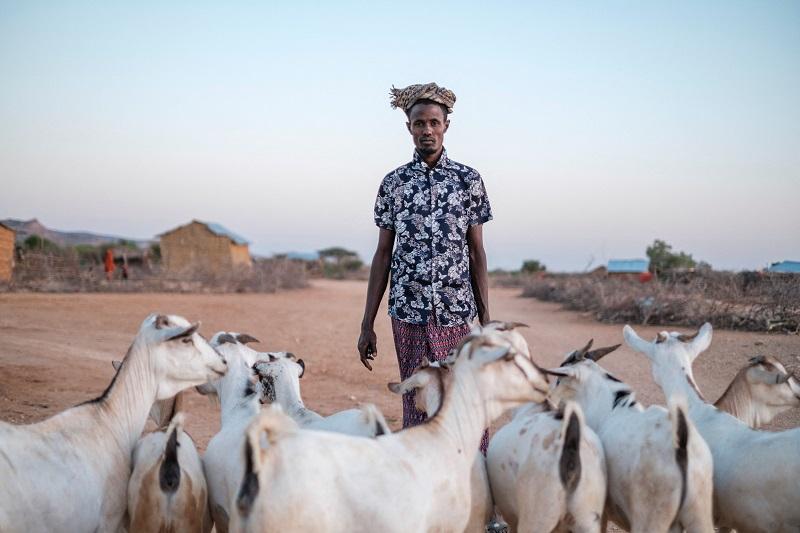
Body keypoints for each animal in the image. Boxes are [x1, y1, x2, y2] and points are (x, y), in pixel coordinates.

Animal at [548, 340, 716, 532]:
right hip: (700, 517)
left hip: (650, 521)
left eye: (559, 378)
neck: (610, 409)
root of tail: (683, 448)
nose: (550, 398)